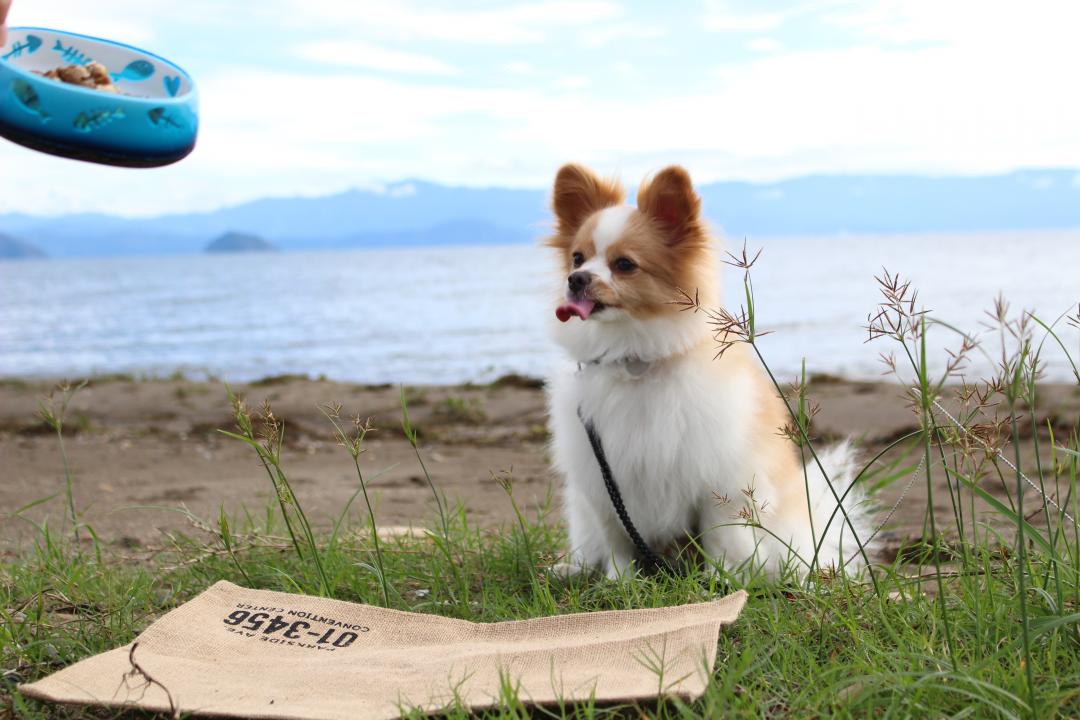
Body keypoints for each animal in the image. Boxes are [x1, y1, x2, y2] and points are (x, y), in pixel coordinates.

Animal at [544, 162, 872, 578]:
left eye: (624, 265)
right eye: (577, 258)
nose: (576, 280)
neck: (635, 360)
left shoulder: (718, 480)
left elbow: (720, 538)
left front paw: (719, 580)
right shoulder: (603, 481)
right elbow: (617, 540)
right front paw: (620, 582)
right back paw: (573, 567)